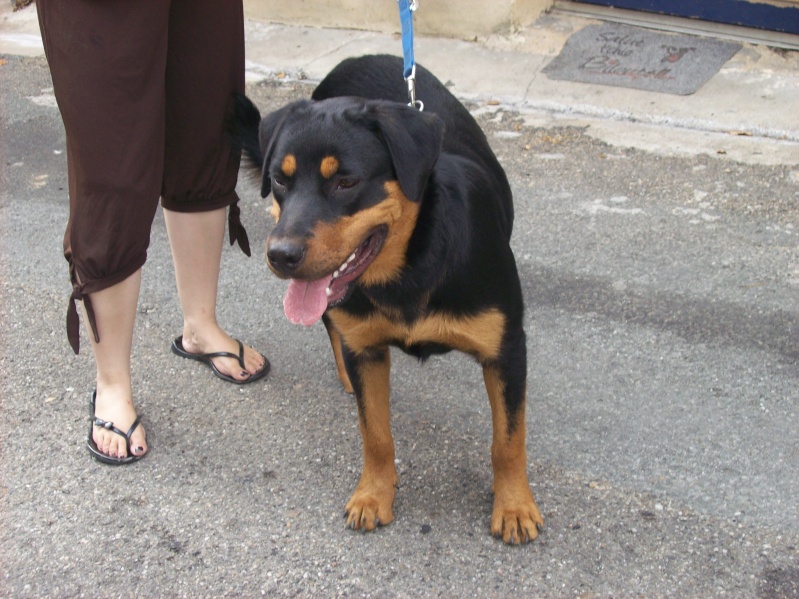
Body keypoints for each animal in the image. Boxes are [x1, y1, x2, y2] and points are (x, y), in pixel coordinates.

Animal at [234, 55, 540, 544]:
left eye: (346, 181)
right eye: (280, 180)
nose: (280, 255)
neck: (410, 269)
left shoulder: (507, 349)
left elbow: (509, 440)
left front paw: (513, 506)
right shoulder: (367, 349)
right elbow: (374, 433)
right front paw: (374, 495)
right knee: (331, 326)